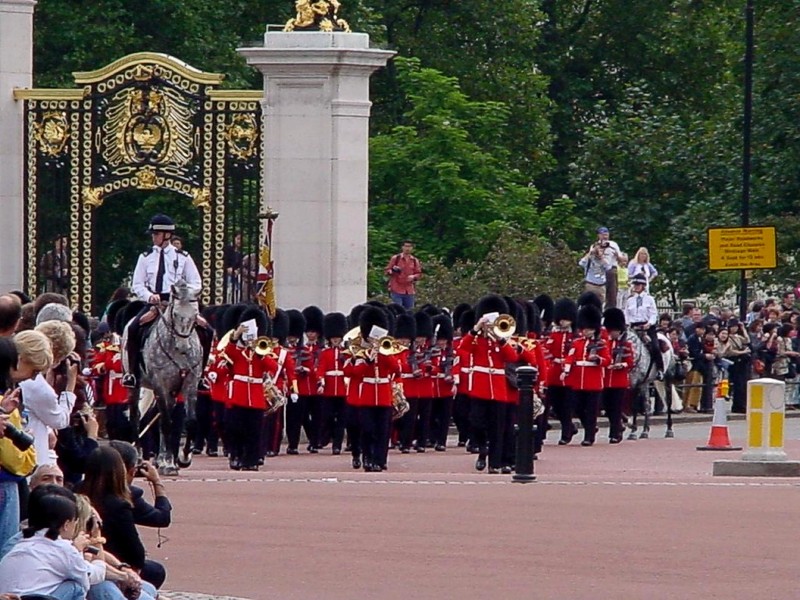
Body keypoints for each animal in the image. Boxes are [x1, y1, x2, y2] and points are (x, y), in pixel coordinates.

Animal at [123, 280, 203, 474]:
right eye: (175, 314)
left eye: (196, 314)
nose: (184, 347)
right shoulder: (160, 384)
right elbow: (166, 422)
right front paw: (169, 464)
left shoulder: (190, 383)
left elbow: (190, 422)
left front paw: (182, 458)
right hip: (135, 385)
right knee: (136, 415)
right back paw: (138, 458)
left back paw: (161, 459)